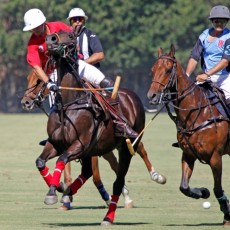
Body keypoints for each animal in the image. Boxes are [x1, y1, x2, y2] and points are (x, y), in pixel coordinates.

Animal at [147, 44, 230, 226]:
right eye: (152, 70)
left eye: (168, 69)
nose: (152, 96)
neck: (196, 112)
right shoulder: (188, 154)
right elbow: (183, 187)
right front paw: (203, 192)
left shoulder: (215, 156)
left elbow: (218, 188)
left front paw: (227, 215)